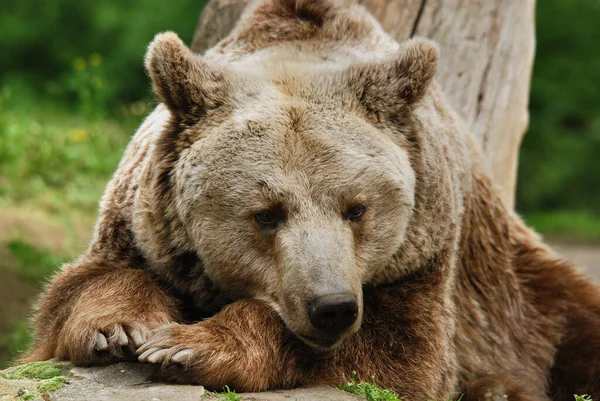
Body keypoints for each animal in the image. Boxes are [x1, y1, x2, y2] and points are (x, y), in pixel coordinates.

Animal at [23, 0, 600, 400]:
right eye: (266, 214)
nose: (333, 307)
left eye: (358, 208)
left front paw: (190, 344)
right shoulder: (140, 224)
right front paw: (118, 329)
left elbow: (401, 353)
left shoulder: (426, 254)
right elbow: (83, 286)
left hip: (524, 293)